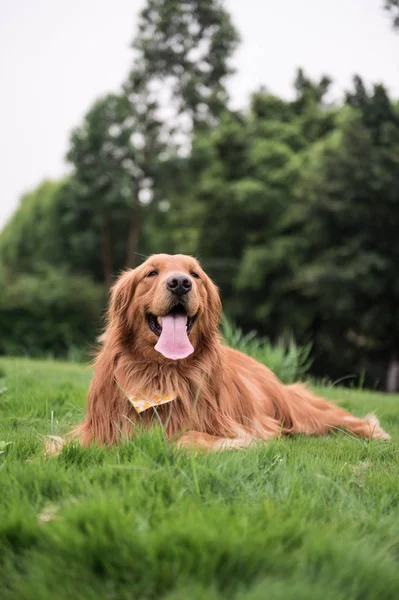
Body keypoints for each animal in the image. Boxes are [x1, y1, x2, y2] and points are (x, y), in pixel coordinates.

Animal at [76, 252, 390, 450]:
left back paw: (375, 431)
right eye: (151, 273)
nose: (180, 283)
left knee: (337, 418)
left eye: (195, 275)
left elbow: (186, 437)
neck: (162, 371)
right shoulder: (99, 429)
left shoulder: (240, 428)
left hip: (294, 412)